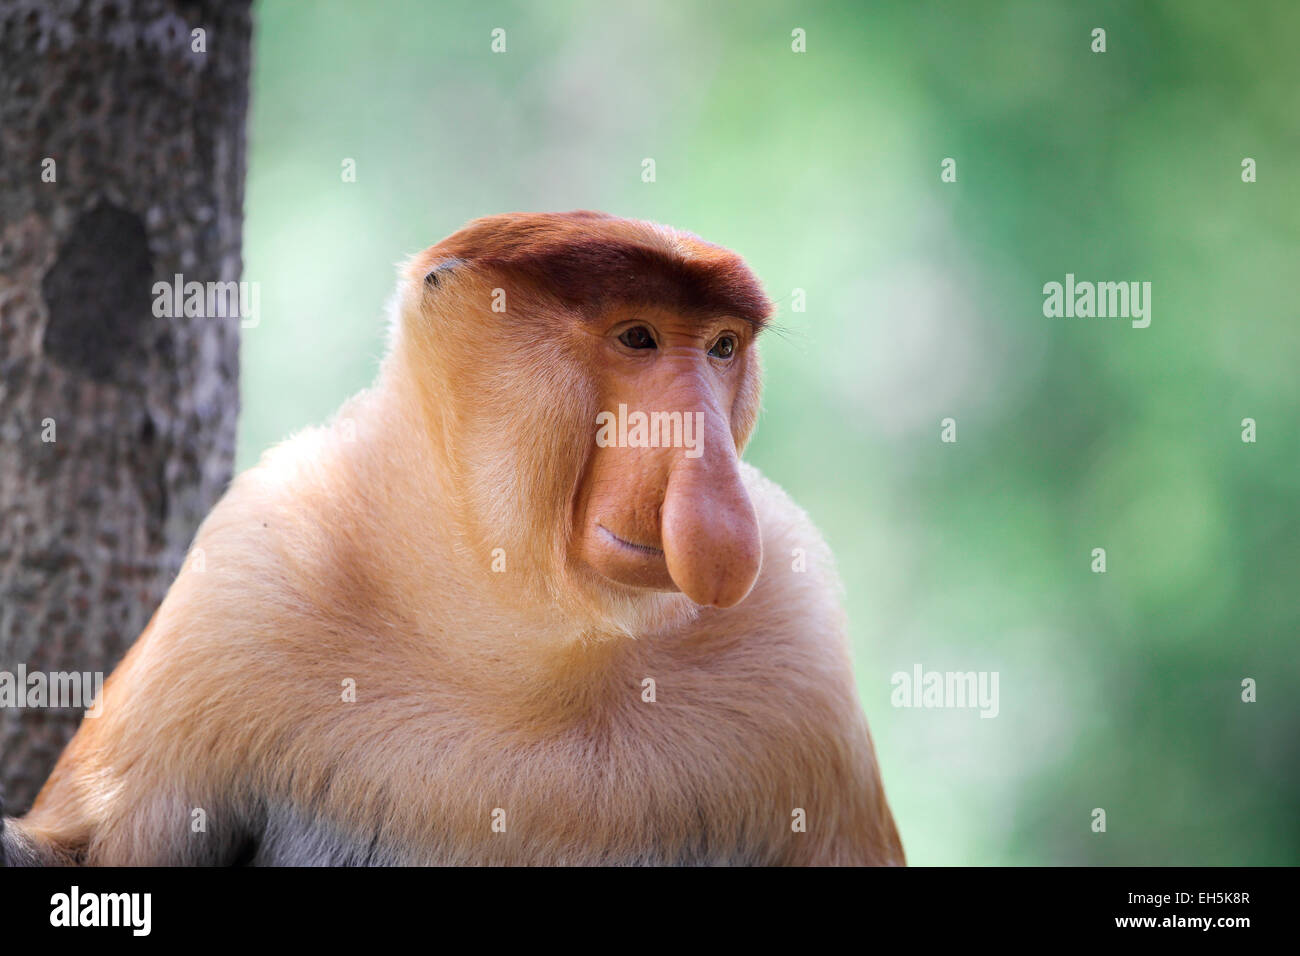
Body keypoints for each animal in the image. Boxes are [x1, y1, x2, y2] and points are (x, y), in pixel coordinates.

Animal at [1, 211, 904, 866]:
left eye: (720, 347)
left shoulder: (797, 650)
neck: (519, 630)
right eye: (638, 337)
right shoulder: (245, 586)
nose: (709, 473)